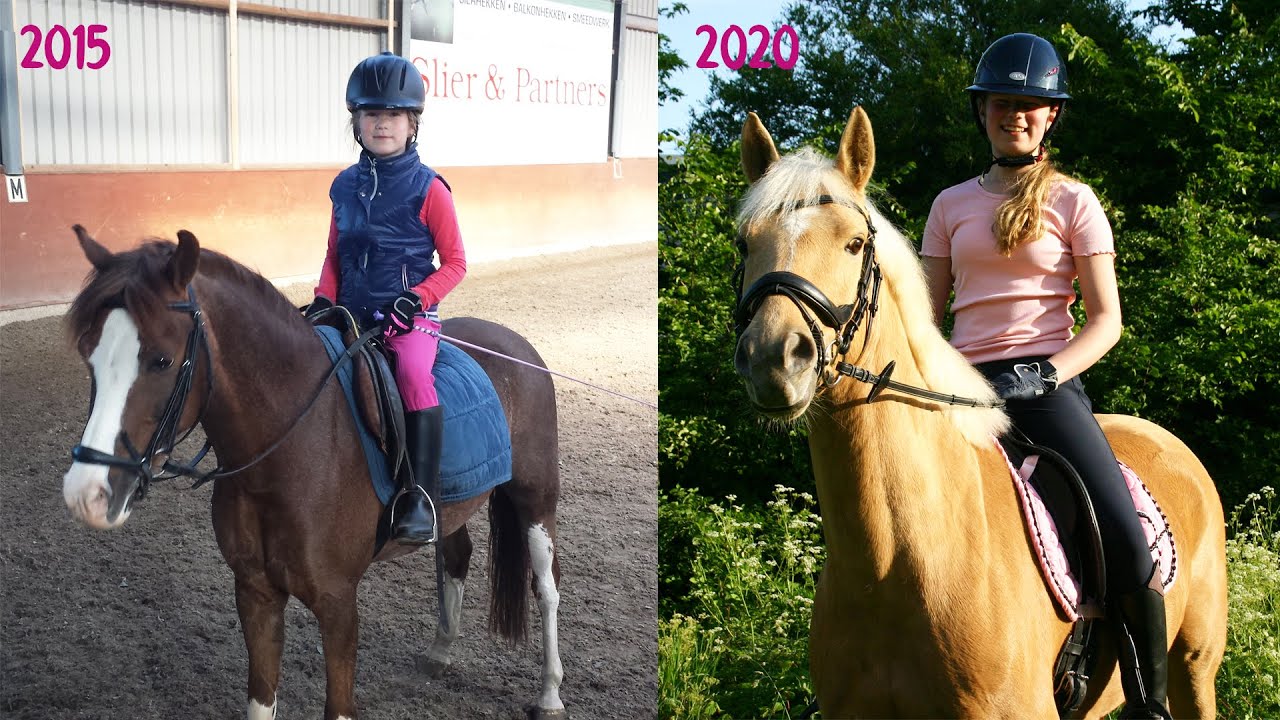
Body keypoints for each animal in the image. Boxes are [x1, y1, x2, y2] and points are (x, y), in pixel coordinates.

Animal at [60, 227, 565, 720]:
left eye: (161, 360)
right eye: (88, 353)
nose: (86, 493)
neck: (287, 452)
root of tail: (516, 343)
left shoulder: (338, 603)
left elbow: (338, 706)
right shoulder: (255, 592)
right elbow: (261, 700)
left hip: (535, 499)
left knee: (546, 587)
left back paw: (550, 694)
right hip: (452, 505)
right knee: (458, 554)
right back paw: (440, 653)